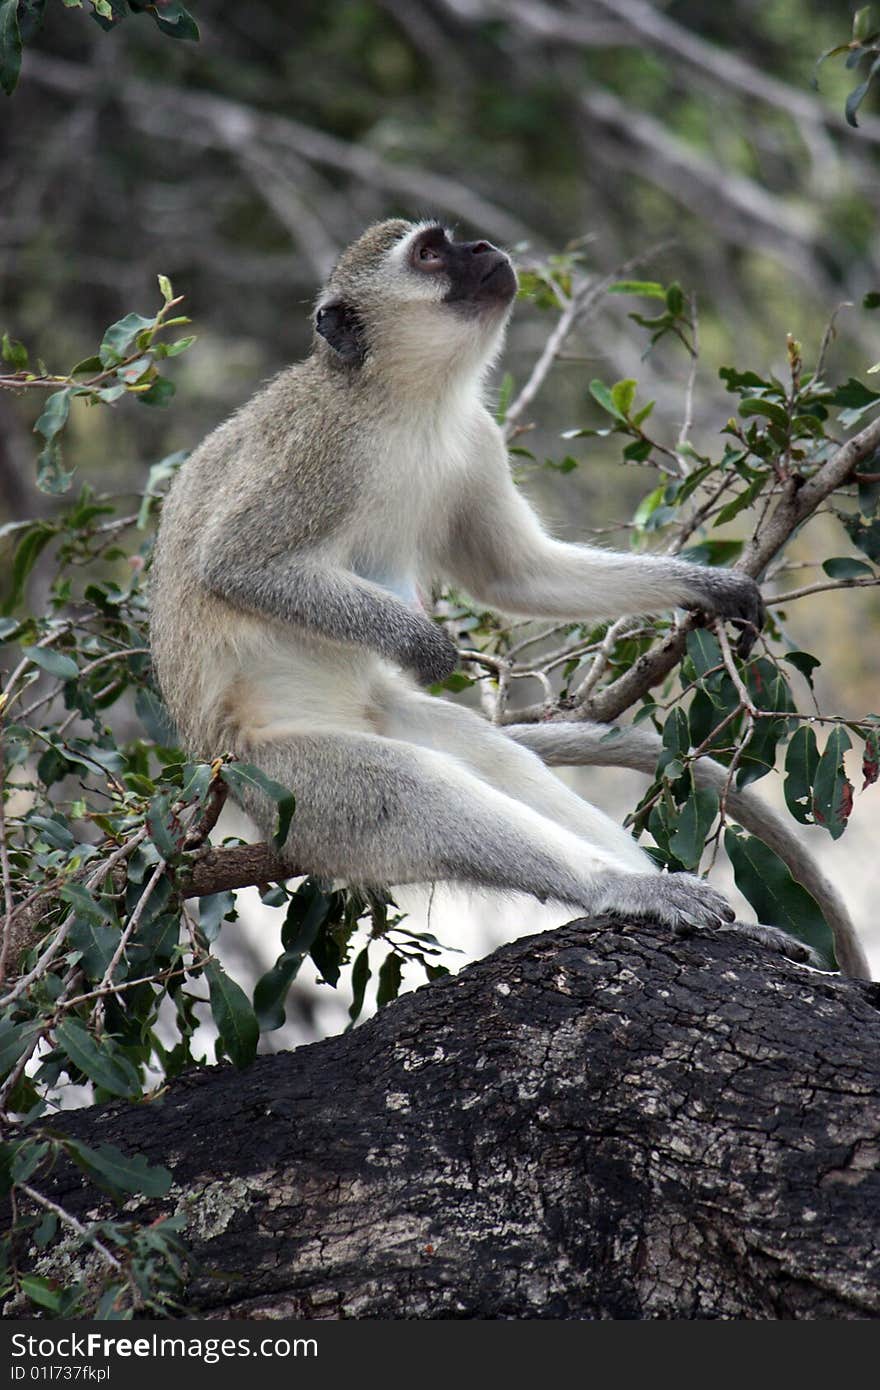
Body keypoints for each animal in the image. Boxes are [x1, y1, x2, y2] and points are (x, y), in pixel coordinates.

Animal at [147, 219, 867, 978]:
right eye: (431, 253)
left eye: (453, 239)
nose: (485, 247)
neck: (411, 401)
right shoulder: (320, 446)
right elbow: (236, 565)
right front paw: (423, 644)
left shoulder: (474, 439)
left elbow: (515, 574)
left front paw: (712, 586)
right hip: (284, 784)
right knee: (409, 791)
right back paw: (617, 887)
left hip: (368, 725)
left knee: (496, 760)